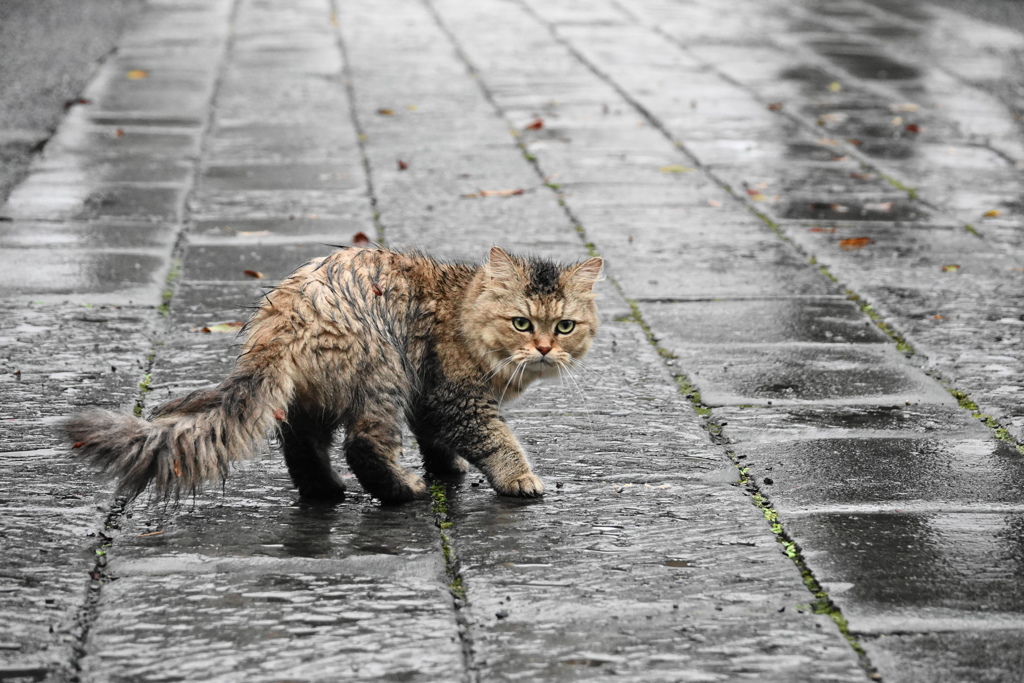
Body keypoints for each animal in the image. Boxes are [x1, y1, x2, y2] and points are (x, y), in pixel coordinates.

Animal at [64, 248, 602, 505]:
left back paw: (325, 489)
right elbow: (496, 440)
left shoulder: (428, 399)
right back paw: (405, 491)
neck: (461, 308)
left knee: (300, 446)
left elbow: (436, 440)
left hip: (317, 397)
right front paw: (519, 479)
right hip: (383, 376)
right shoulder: (455, 397)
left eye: (564, 326)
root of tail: (284, 314)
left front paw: (448, 469)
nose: (544, 349)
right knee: (362, 447)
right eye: (522, 323)